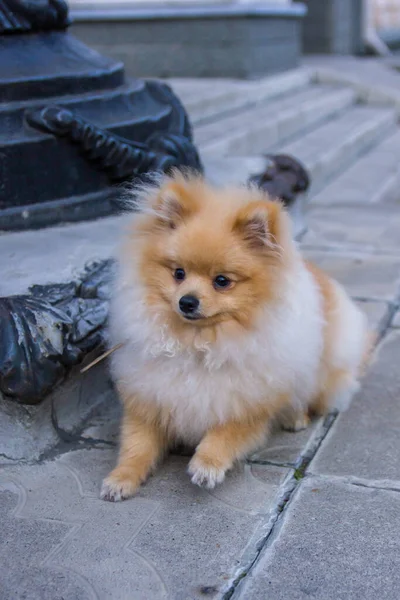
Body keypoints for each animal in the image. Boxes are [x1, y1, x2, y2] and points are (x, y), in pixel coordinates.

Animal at [101, 171, 370, 500]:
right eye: (178, 273)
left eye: (221, 281)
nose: (187, 301)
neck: (199, 344)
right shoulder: (150, 396)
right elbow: (137, 444)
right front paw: (121, 478)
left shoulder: (246, 403)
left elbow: (225, 434)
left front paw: (207, 465)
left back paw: (295, 416)